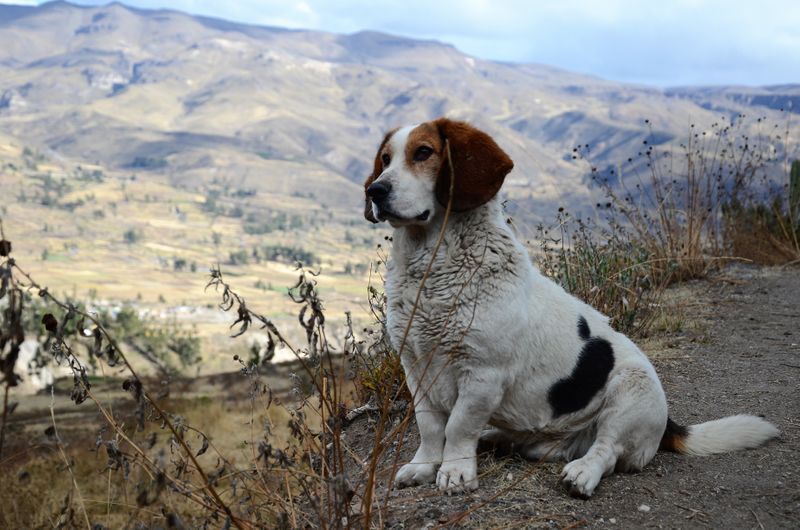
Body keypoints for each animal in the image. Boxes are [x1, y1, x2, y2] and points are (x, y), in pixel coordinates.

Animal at [364, 117, 780, 498]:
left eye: (423, 153)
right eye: (384, 159)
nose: (375, 190)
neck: (432, 268)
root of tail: (668, 422)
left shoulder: (482, 373)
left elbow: (458, 427)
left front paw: (454, 471)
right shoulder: (416, 367)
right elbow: (431, 426)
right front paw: (424, 466)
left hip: (630, 393)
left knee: (607, 451)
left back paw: (582, 473)